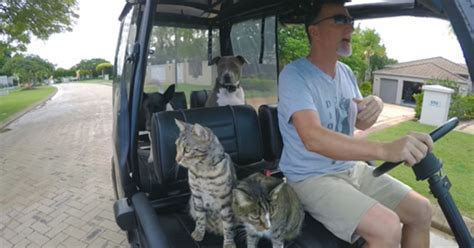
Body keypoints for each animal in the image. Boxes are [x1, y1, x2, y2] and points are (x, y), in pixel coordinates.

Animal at [175, 119, 237, 247]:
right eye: (176, 147)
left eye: (187, 150)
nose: (176, 159)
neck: (203, 171)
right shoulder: (197, 197)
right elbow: (200, 219)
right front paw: (199, 233)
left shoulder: (225, 200)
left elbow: (228, 225)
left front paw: (229, 243)